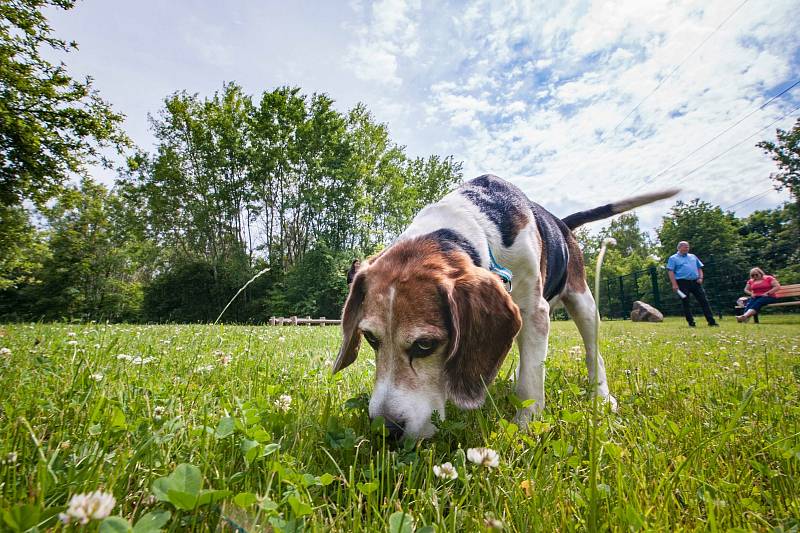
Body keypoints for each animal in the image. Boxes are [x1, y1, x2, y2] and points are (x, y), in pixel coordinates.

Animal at [334, 175, 680, 436]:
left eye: (424, 345)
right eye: (371, 338)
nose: (386, 429)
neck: (474, 224)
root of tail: (561, 224)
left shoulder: (533, 312)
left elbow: (531, 380)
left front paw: (525, 426)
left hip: (583, 301)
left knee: (593, 353)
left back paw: (602, 396)